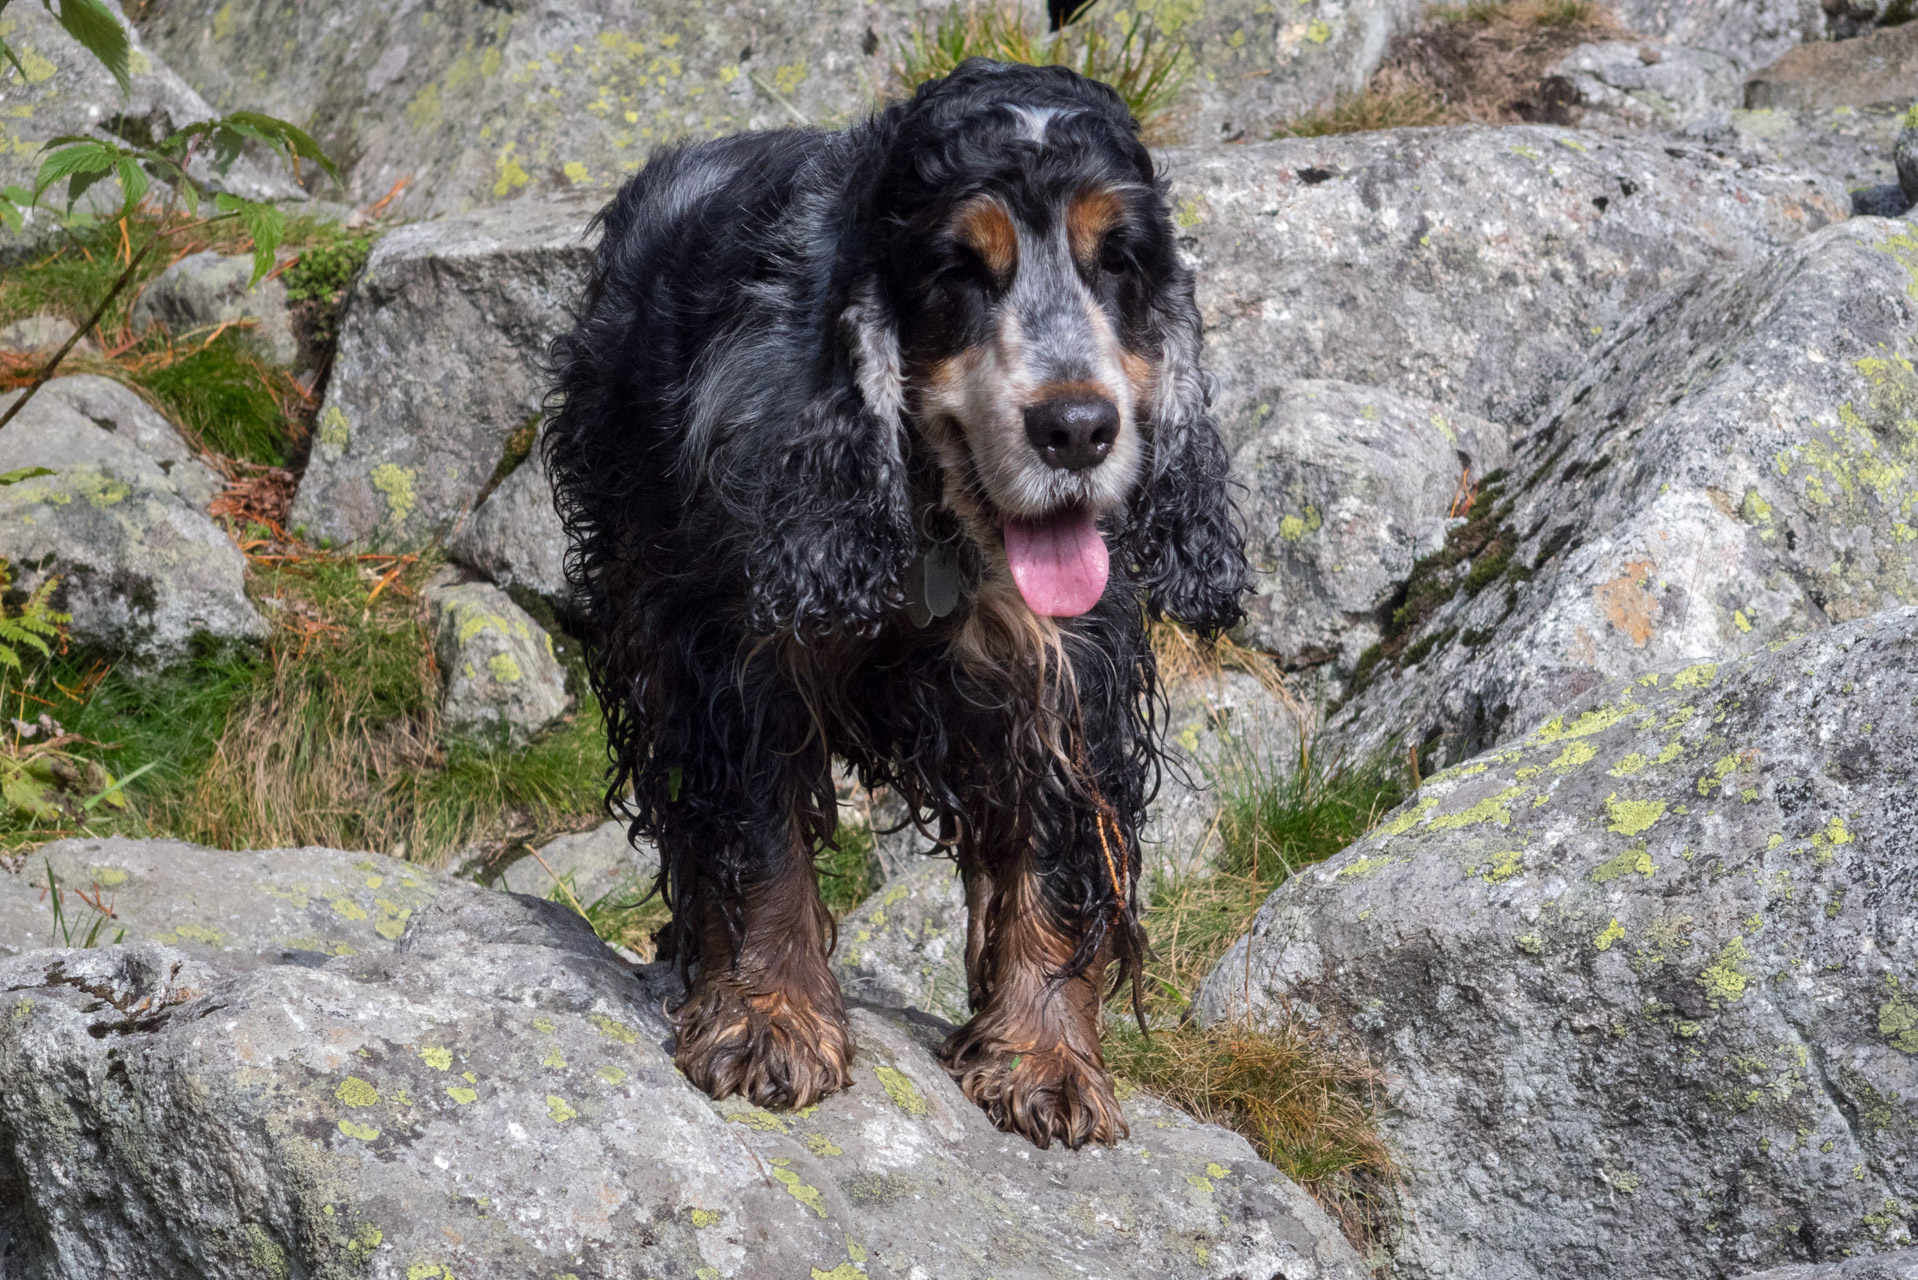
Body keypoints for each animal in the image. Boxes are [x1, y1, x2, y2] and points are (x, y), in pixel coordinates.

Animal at [548, 57, 1250, 1151]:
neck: (940, 526)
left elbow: (1054, 862)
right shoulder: (734, 652)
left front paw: (1043, 1058)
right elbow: (758, 839)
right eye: (958, 269)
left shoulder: (1072, 677)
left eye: (1120, 261)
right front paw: (769, 1018)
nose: (1078, 428)